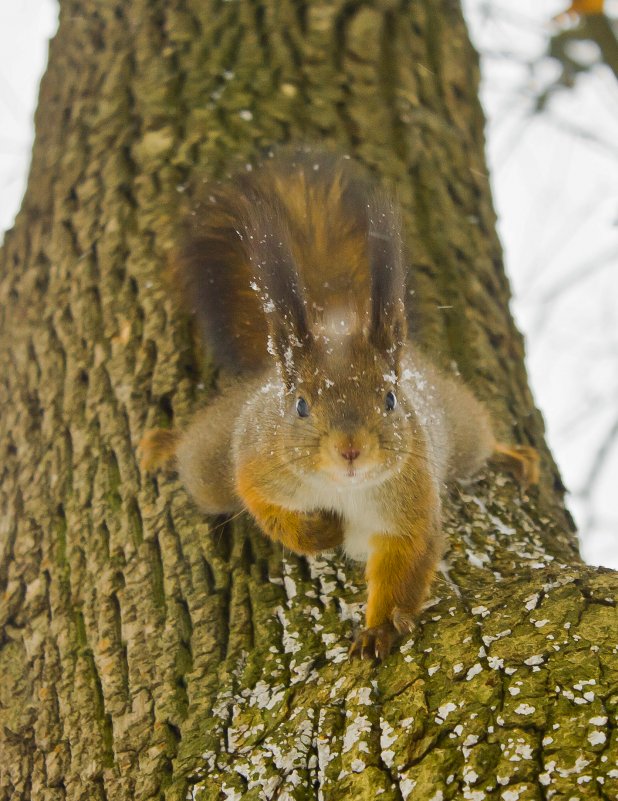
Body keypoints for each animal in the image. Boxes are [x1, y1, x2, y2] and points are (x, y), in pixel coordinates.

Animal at [138, 147, 536, 660]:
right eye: (301, 406)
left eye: (390, 398)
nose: (350, 450)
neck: (344, 489)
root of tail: (338, 320)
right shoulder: (258, 460)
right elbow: (262, 504)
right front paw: (321, 533)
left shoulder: (411, 504)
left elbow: (403, 566)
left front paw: (379, 629)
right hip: (212, 461)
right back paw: (165, 444)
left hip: (458, 426)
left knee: (479, 439)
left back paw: (513, 455)